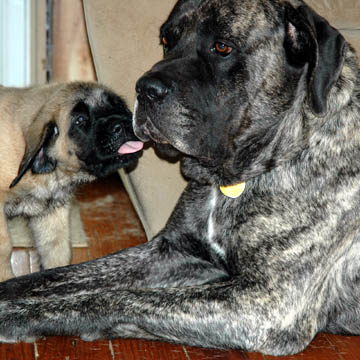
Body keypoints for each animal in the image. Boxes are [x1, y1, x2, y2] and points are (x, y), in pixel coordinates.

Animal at [0, 0, 358, 354]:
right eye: (166, 40)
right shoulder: (171, 249)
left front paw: (19, 314)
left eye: (222, 47)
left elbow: (116, 298)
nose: (145, 89)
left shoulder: (263, 303)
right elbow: (64, 275)